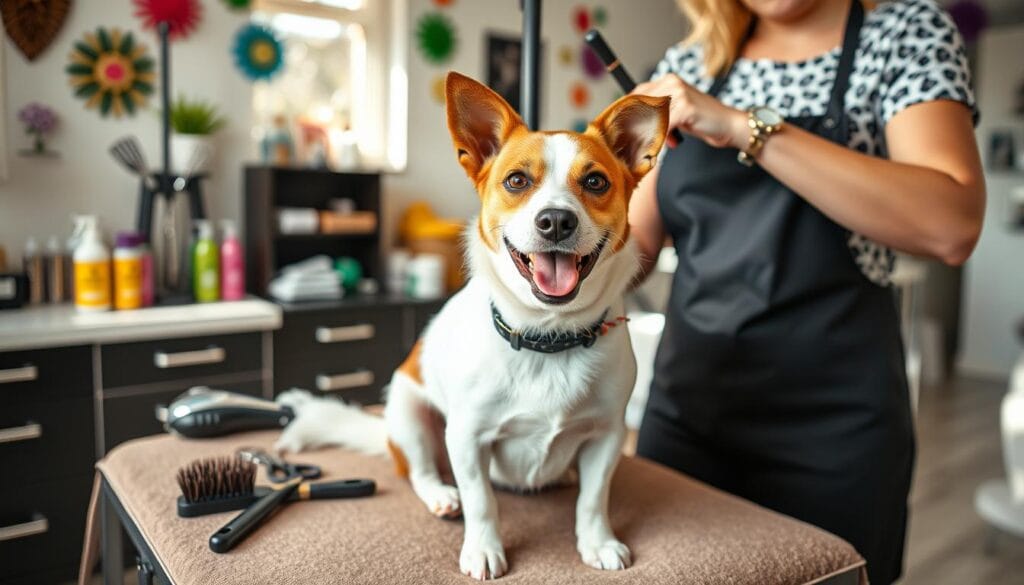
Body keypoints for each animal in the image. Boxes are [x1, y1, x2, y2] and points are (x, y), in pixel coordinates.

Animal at [276, 71, 667, 577]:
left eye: (596, 181)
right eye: (517, 180)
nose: (555, 220)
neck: (547, 336)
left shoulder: (608, 436)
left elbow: (593, 498)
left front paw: (597, 541)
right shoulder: (466, 436)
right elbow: (482, 501)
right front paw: (483, 548)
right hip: (410, 415)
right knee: (421, 470)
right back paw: (442, 494)